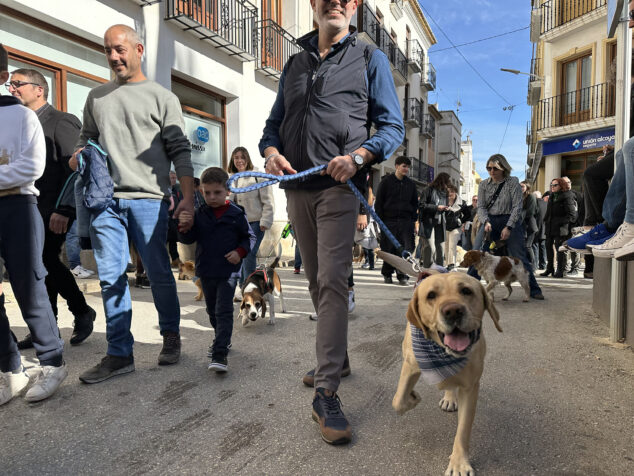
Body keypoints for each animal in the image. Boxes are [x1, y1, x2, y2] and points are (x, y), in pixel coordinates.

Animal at [390, 272, 498, 476]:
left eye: (466, 291)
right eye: (431, 295)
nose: (453, 311)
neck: (443, 354)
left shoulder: (470, 387)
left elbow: (463, 430)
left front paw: (459, 463)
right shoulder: (410, 365)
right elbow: (398, 400)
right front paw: (412, 398)